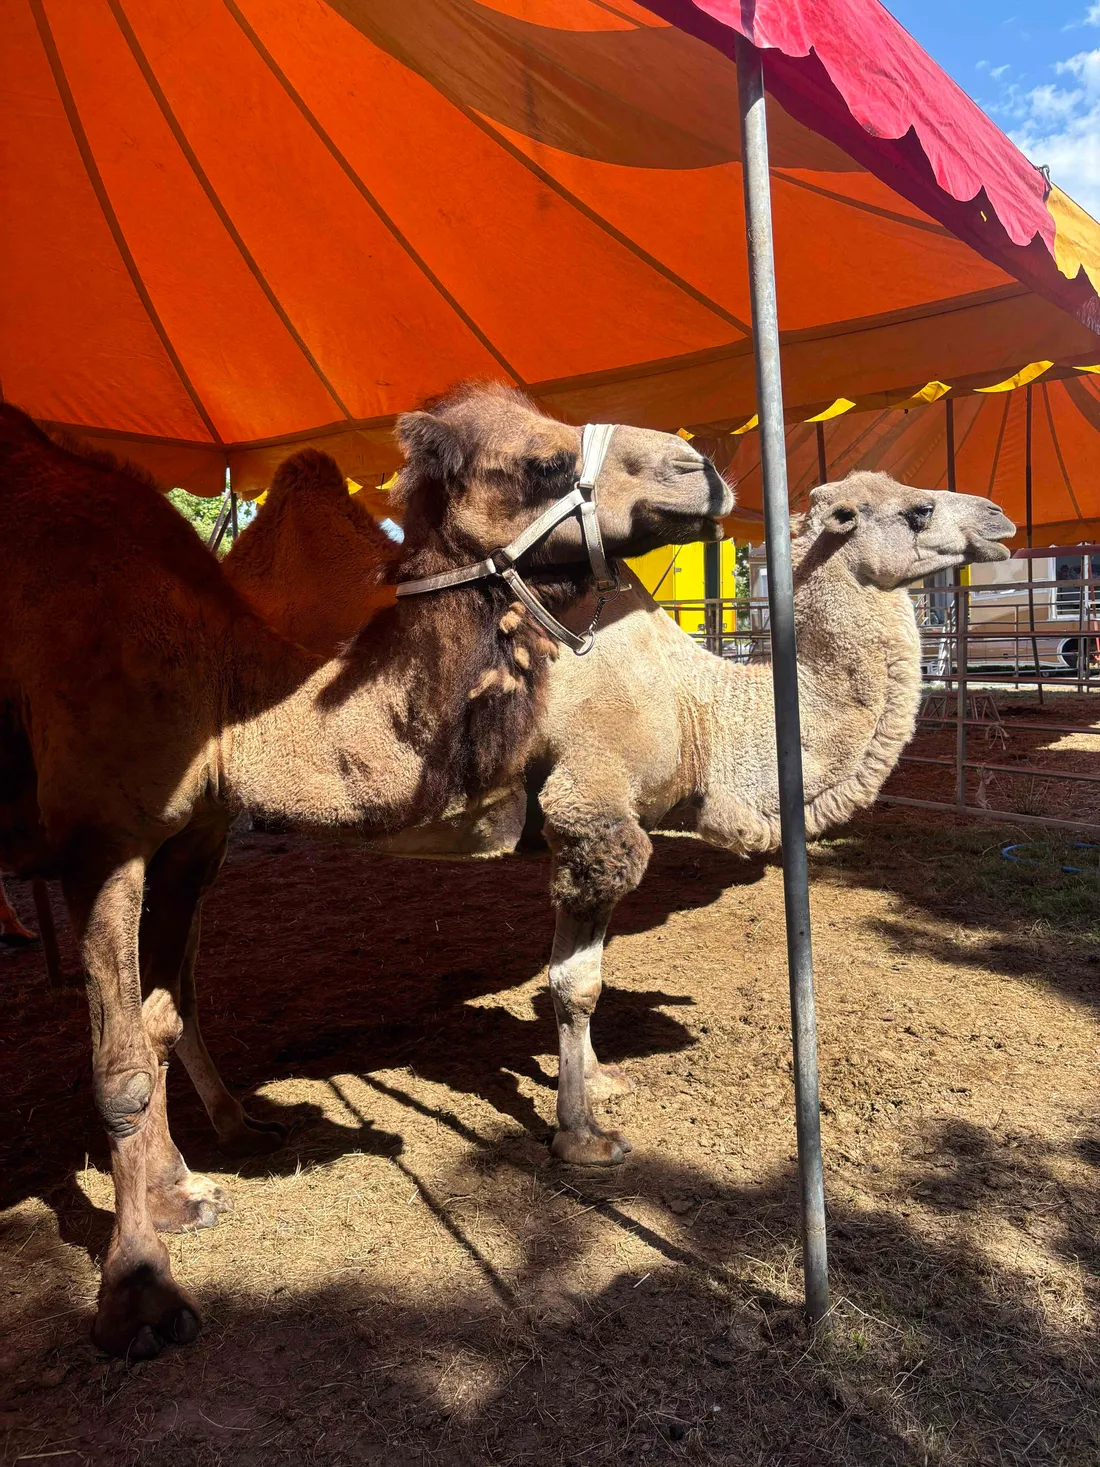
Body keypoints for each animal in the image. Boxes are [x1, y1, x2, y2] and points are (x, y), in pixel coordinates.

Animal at [2, 384, 733, 1355]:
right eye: (541, 460)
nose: (705, 470)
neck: (216, 678)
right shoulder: (101, 839)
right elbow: (118, 1067)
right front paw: (140, 1293)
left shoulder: (192, 829)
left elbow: (158, 1020)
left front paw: (179, 1194)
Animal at [196, 469, 1009, 1167]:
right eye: (918, 510)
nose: (1000, 520)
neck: (700, 710)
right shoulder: (590, 805)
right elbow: (574, 983)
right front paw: (582, 1136)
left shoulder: (598, 825)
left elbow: (586, 974)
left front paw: (600, 1081)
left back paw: (237, 1125)